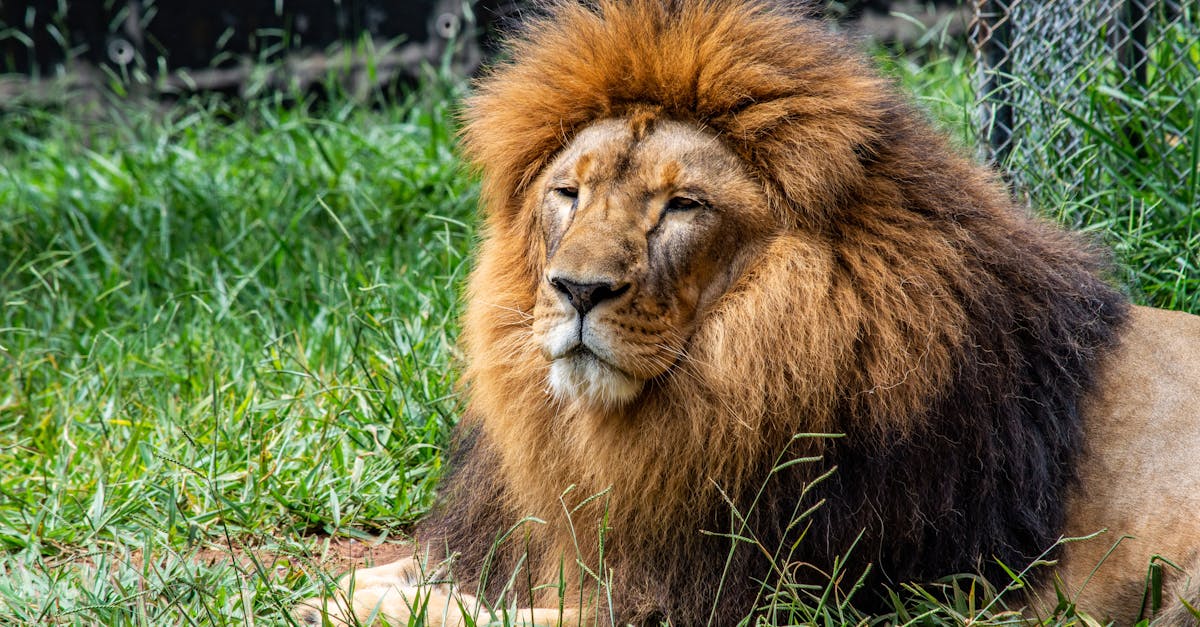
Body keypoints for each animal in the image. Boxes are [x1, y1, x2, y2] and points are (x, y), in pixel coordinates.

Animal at [295, 0, 1200, 625]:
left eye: (682, 205)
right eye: (569, 192)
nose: (577, 289)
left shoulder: (736, 597)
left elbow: (489, 615)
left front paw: (362, 606)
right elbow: (422, 568)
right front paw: (337, 586)